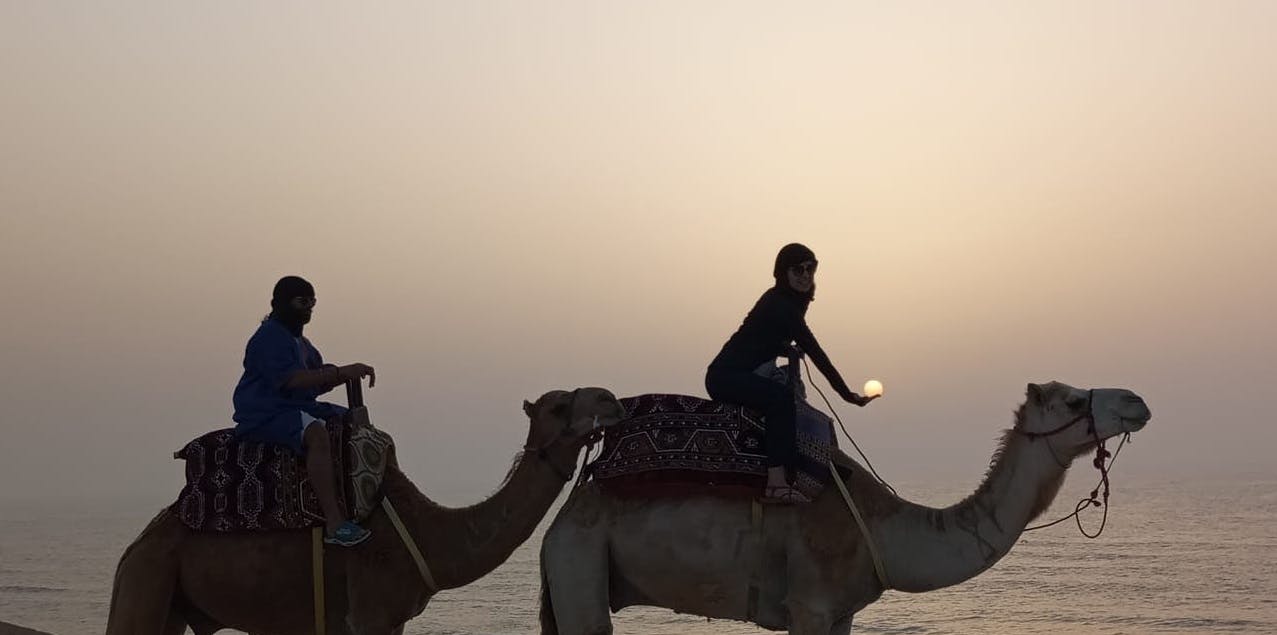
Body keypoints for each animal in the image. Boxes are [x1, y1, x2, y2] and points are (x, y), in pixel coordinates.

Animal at [107, 385, 625, 633]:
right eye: (557, 407)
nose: (610, 399)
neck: (427, 534)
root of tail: (135, 546)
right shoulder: (369, 612)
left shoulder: (392, 620)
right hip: (148, 578)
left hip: (170, 597)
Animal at [533, 378, 1154, 631]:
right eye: (1071, 399)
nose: (1137, 402)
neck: (879, 529)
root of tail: (566, 511)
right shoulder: (808, 604)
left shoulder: (842, 613)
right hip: (579, 560)